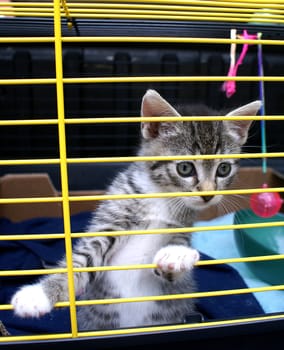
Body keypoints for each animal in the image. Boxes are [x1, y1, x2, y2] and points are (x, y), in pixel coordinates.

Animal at [11, 89, 260, 330]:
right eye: (185, 168)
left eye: (223, 169)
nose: (208, 195)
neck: (161, 198)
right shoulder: (113, 218)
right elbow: (83, 259)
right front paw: (39, 294)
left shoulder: (181, 228)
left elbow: (172, 269)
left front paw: (177, 254)